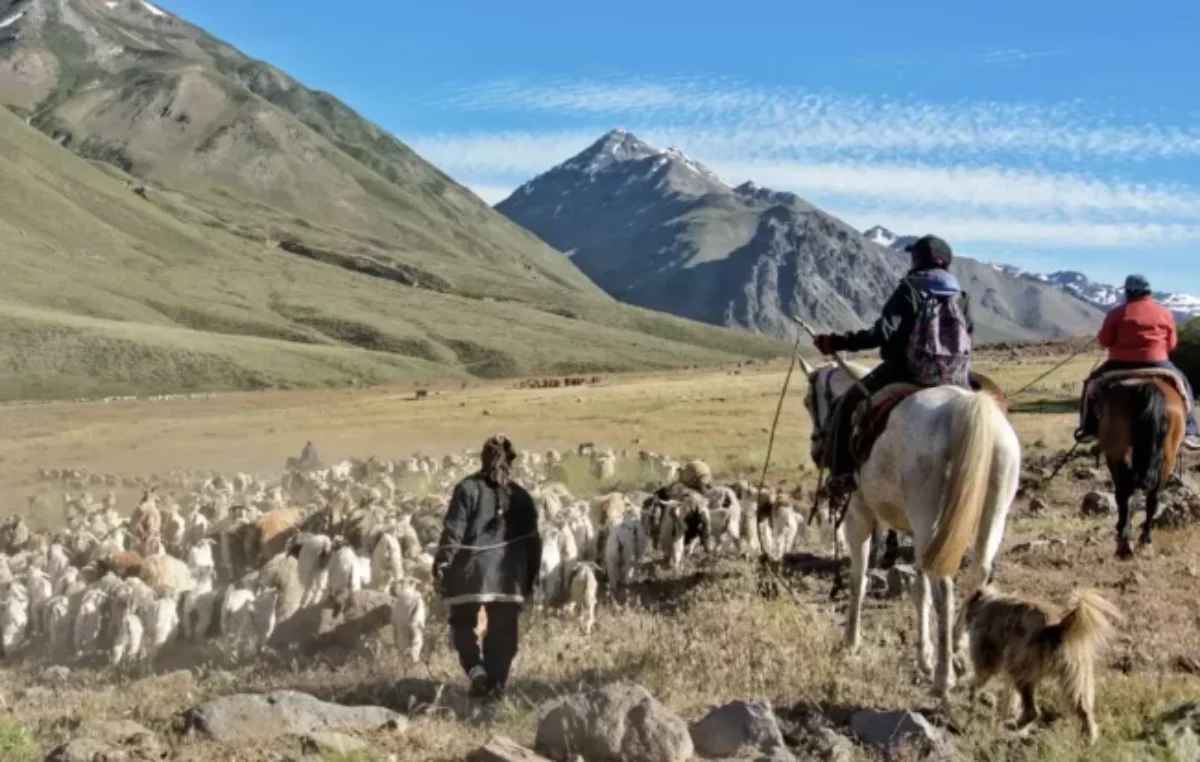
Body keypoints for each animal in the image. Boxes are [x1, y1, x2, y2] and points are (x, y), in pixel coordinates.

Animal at [801, 357, 1017, 696]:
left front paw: (851, 640)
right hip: (992, 512)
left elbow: (858, 578)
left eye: (808, 402)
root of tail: (967, 409)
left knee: (945, 586)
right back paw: (956, 646)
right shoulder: (916, 534)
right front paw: (922, 655)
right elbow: (919, 590)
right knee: (978, 573)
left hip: (931, 518)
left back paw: (943, 676)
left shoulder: (859, 516)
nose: (816, 452)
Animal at [960, 583, 1118, 744]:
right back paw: (1088, 738)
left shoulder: (986, 648)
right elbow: (1009, 694)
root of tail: (1057, 629)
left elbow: (980, 676)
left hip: (1020, 663)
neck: (986, 602)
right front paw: (1006, 712)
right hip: (1076, 674)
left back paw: (1014, 724)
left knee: (1032, 710)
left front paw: (970, 693)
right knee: (1083, 707)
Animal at [1099, 379, 1180, 556]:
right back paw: (1142, 539)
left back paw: (1125, 541)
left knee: (1126, 495)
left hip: (1120, 454)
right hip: (1166, 460)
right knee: (1151, 499)